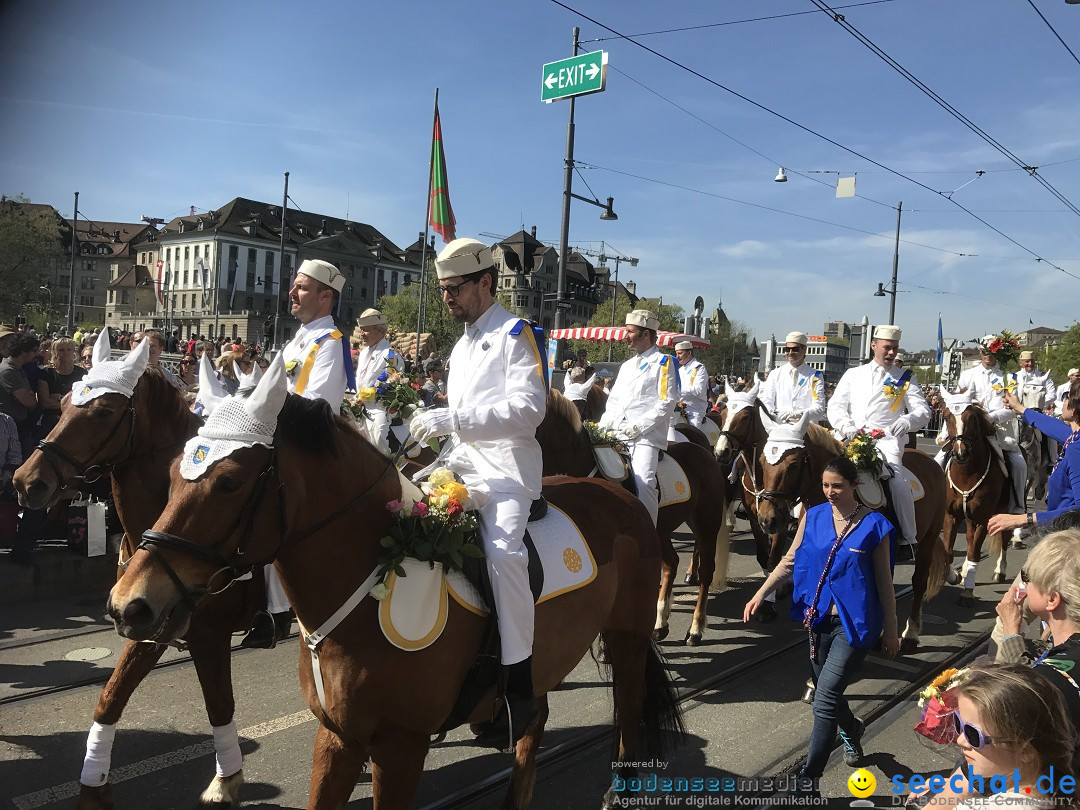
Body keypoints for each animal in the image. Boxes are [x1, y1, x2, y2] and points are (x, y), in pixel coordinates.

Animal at [13, 369, 257, 810]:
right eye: (62, 404)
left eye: (103, 411)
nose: (26, 482)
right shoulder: (143, 622)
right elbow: (110, 698)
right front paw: (93, 788)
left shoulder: (208, 634)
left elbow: (219, 703)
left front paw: (225, 780)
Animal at [107, 384, 682, 810]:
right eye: (173, 472)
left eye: (228, 482)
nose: (129, 604)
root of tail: (618, 493)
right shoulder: (338, 737)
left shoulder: (400, 747)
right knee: (533, 720)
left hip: (627, 639)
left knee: (630, 710)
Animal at [537, 390, 730, 652]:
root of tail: (705, 452)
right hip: (662, 530)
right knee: (671, 563)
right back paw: (660, 624)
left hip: (706, 522)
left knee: (706, 570)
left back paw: (695, 629)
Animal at [937, 397, 1010, 604]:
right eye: (947, 417)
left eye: (972, 418)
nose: (960, 453)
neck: (966, 474)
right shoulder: (951, 516)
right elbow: (948, 551)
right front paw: (955, 576)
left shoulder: (983, 519)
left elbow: (974, 553)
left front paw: (967, 592)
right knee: (970, 539)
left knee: (1004, 538)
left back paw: (999, 571)